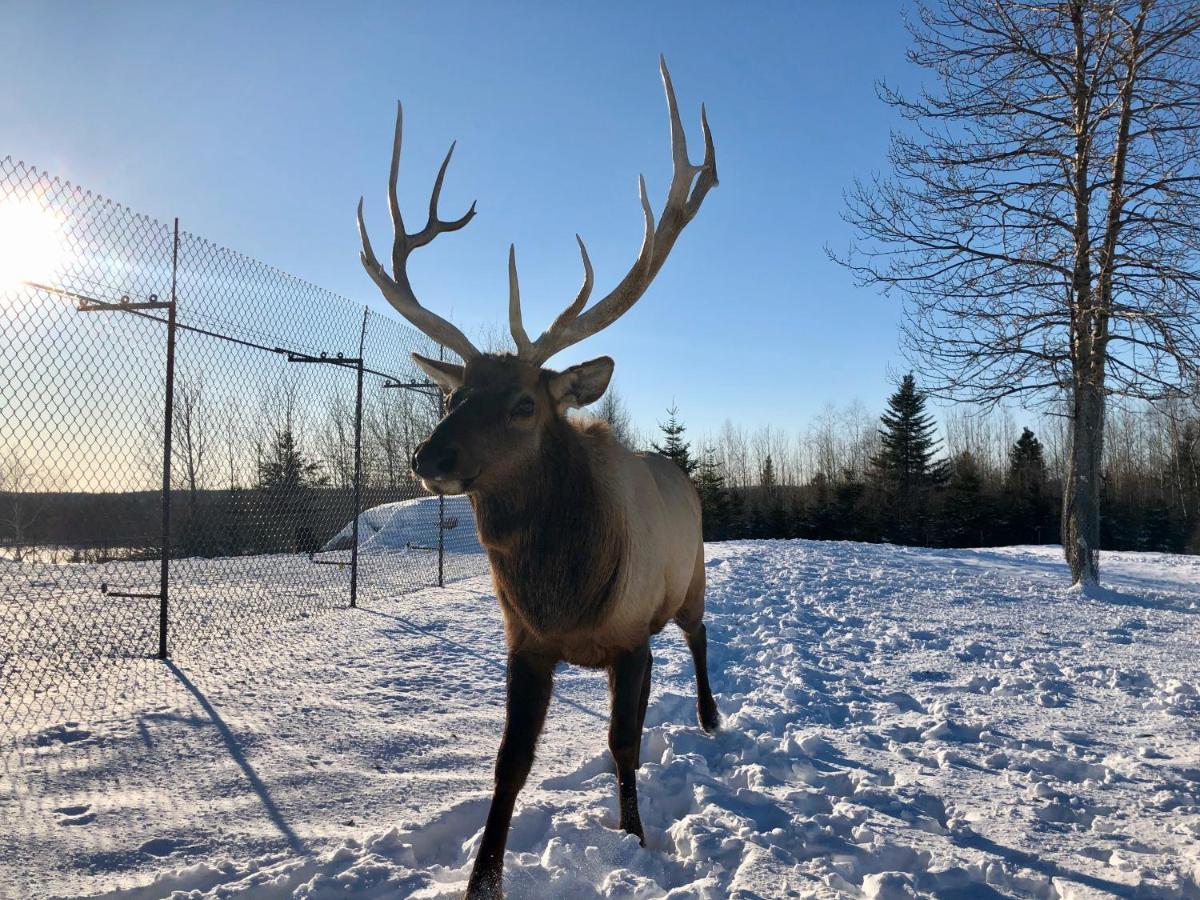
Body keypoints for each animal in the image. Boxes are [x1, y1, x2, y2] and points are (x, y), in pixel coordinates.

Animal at [355, 60, 710, 897]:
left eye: (523, 403)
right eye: (451, 396)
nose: (428, 458)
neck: (565, 595)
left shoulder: (630, 632)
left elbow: (623, 744)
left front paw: (635, 837)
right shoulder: (526, 642)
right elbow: (508, 764)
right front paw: (482, 877)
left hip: (691, 580)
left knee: (700, 638)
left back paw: (712, 720)